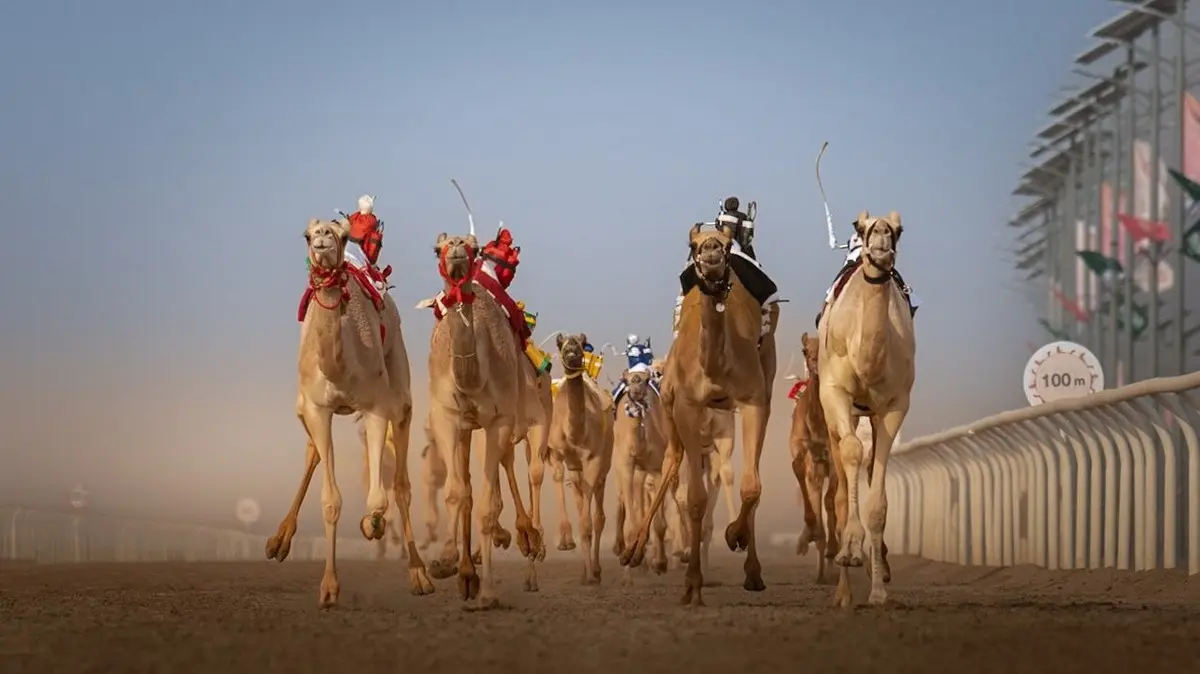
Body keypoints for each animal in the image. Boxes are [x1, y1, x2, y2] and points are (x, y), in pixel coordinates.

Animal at [267, 218, 433, 607]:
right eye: (307, 235)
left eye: (342, 236)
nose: (323, 241)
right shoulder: (316, 408)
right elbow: (331, 500)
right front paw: (328, 588)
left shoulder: (376, 406)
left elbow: (379, 498)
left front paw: (370, 525)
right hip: (305, 407)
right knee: (312, 452)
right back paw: (279, 541)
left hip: (400, 385)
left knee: (402, 484)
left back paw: (419, 572)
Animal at [425, 232, 542, 609]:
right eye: (437, 247)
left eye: (474, 247)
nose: (457, 250)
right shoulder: (447, 417)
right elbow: (456, 493)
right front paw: (445, 562)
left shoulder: (499, 421)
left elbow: (488, 506)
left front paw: (489, 592)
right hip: (468, 430)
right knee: (469, 486)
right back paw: (467, 573)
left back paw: (527, 540)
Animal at [547, 333, 615, 584]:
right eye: (561, 343)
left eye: (580, 341)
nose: (572, 352)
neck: (576, 433)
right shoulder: (557, 453)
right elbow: (558, 478)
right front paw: (565, 540)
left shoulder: (593, 460)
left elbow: (589, 523)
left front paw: (593, 575)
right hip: (576, 471)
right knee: (580, 497)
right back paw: (586, 571)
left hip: (605, 463)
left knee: (598, 516)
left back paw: (595, 570)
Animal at [622, 222, 779, 605]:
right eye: (692, 245)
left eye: (725, 242)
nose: (710, 253)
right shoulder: (687, 406)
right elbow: (694, 499)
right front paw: (692, 584)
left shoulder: (754, 401)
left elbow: (751, 486)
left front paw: (736, 538)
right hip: (671, 411)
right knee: (671, 463)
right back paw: (635, 551)